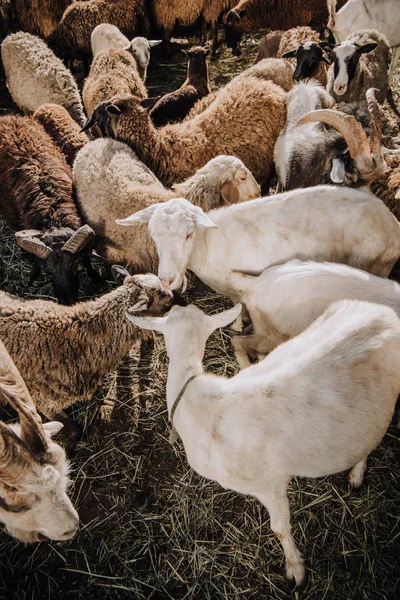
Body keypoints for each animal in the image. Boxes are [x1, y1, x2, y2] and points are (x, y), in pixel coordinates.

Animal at [117, 186, 400, 296]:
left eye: (188, 234)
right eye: (154, 235)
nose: (166, 279)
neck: (208, 243)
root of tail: (391, 223)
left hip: (374, 263)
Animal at [127, 300, 400, 584]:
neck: (194, 399)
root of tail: (382, 312)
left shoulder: (268, 484)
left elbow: (279, 529)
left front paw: (296, 569)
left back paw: (357, 473)